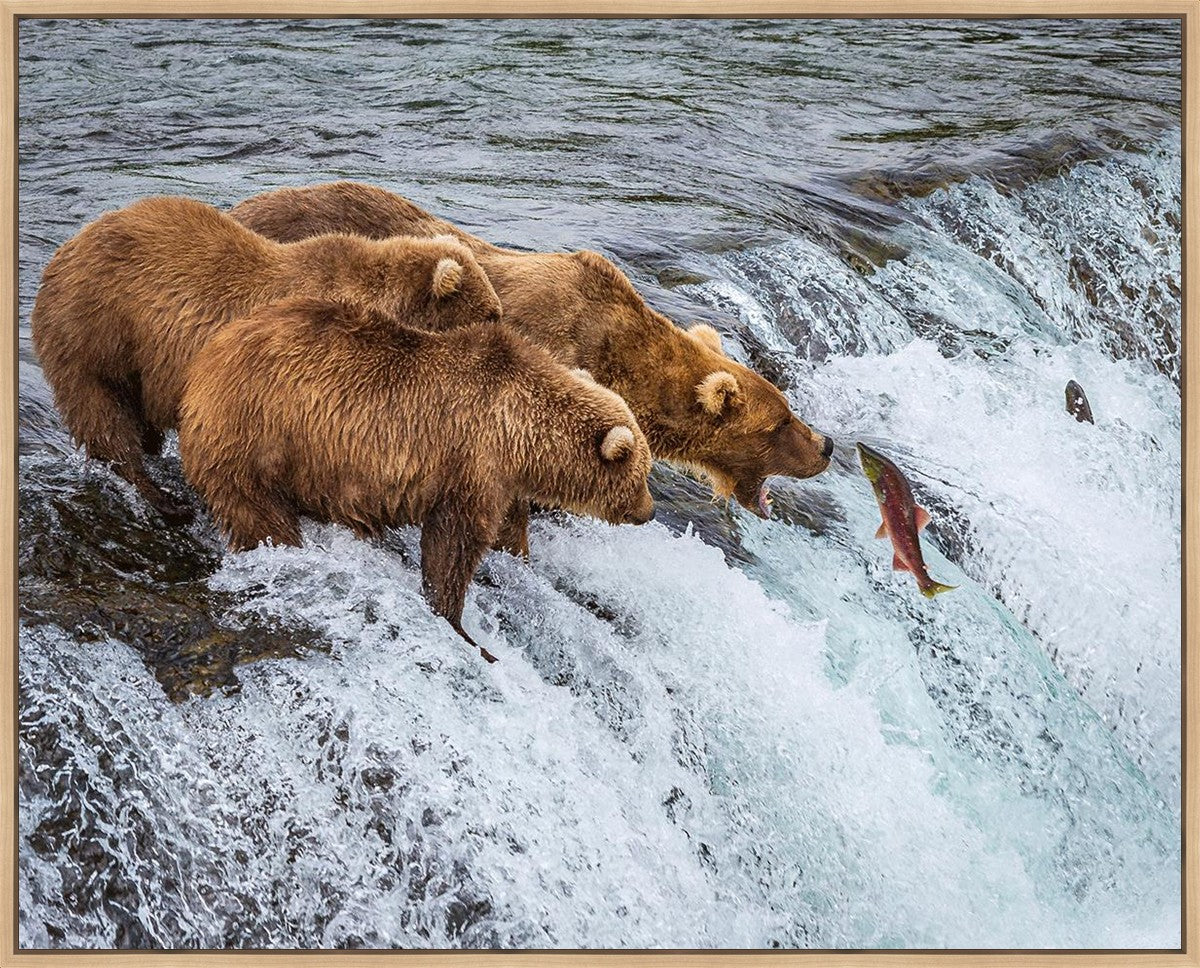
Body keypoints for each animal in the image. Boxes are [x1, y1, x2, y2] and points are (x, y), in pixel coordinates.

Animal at [31, 195, 503, 523]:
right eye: (491, 313)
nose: (504, 330)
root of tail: (64, 250)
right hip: (95, 333)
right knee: (103, 417)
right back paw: (163, 498)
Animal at [177, 296, 656, 661]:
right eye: (642, 474)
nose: (649, 512)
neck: (520, 432)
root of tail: (203, 363)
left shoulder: (501, 480)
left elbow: (506, 531)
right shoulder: (471, 462)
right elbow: (453, 545)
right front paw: (462, 627)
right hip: (256, 436)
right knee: (259, 514)